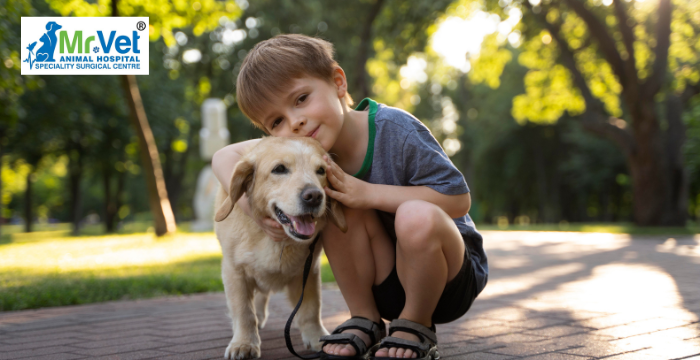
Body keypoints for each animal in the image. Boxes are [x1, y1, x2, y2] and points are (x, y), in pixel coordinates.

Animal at [212, 136, 346, 358]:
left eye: (321, 170)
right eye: (280, 169)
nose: (314, 196)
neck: (279, 241)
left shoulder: (309, 271)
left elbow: (311, 308)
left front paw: (316, 337)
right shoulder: (234, 271)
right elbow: (243, 311)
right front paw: (244, 343)